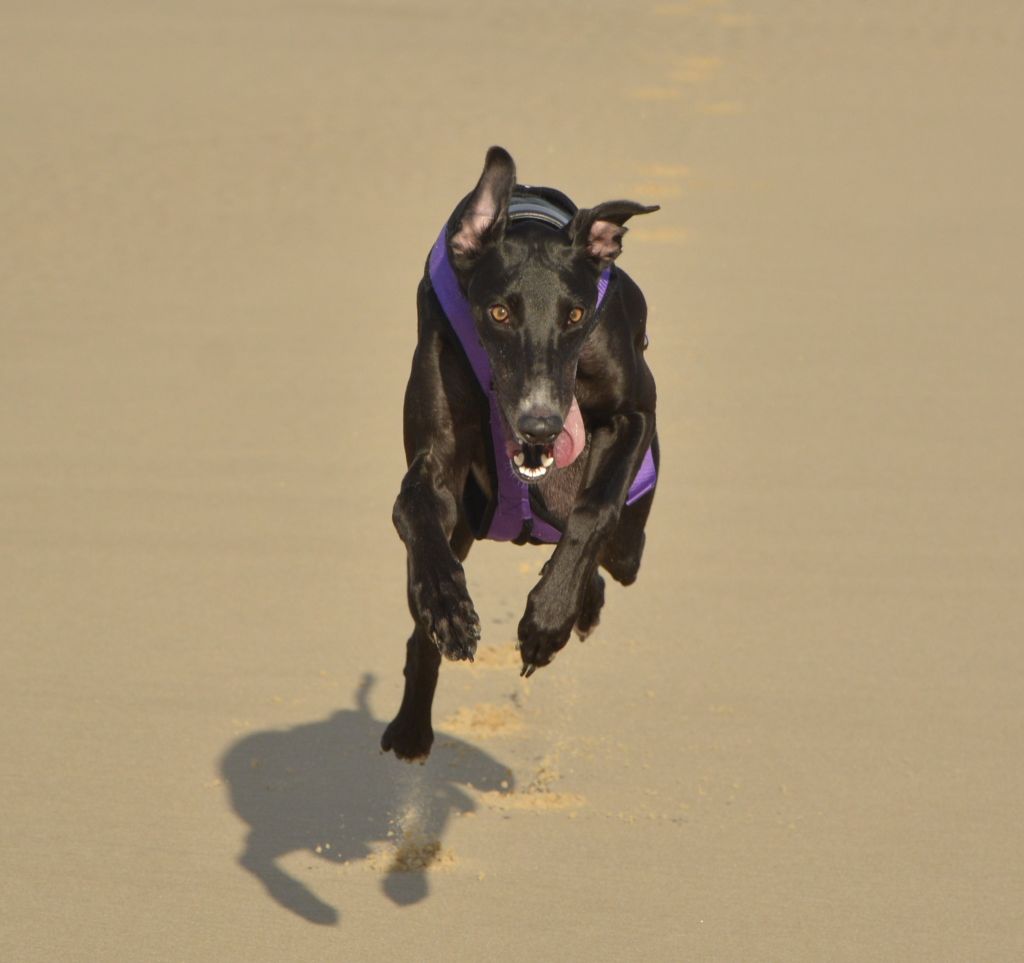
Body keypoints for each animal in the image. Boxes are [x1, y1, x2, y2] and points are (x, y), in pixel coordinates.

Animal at [380, 146, 659, 758]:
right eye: (499, 313)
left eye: (577, 314)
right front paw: (449, 607)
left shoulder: (634, 417)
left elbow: (595, 510)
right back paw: (411, 728)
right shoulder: (436, 463)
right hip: (465, 518)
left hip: (632, 540)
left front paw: (547, 622)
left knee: (611, 547)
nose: (540, 425)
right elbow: (411, 505)